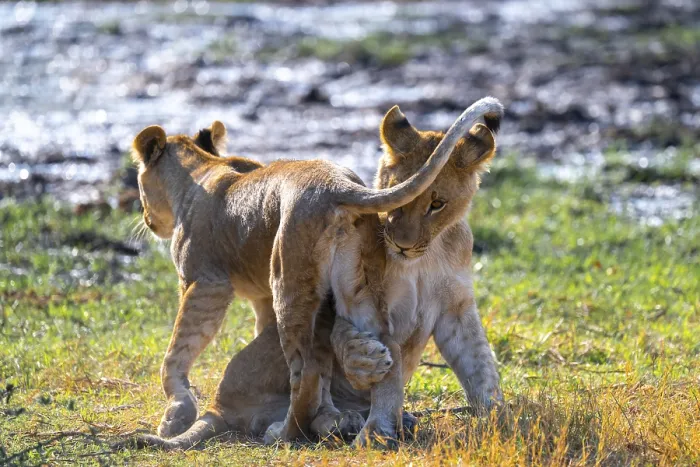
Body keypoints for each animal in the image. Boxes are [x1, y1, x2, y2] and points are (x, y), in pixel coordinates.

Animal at [130, 98, 503, 445]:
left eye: (436, 204)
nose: (401, 245)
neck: (204, 169)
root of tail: (336, 184)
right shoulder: (264, 296)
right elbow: (478, 365)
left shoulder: (205, 282)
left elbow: (177, 349)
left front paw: (175, 413)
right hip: (356, 287)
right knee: (379, 353)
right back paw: (366, 423)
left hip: (288, 283)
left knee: (306, 374)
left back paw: (288, 431)